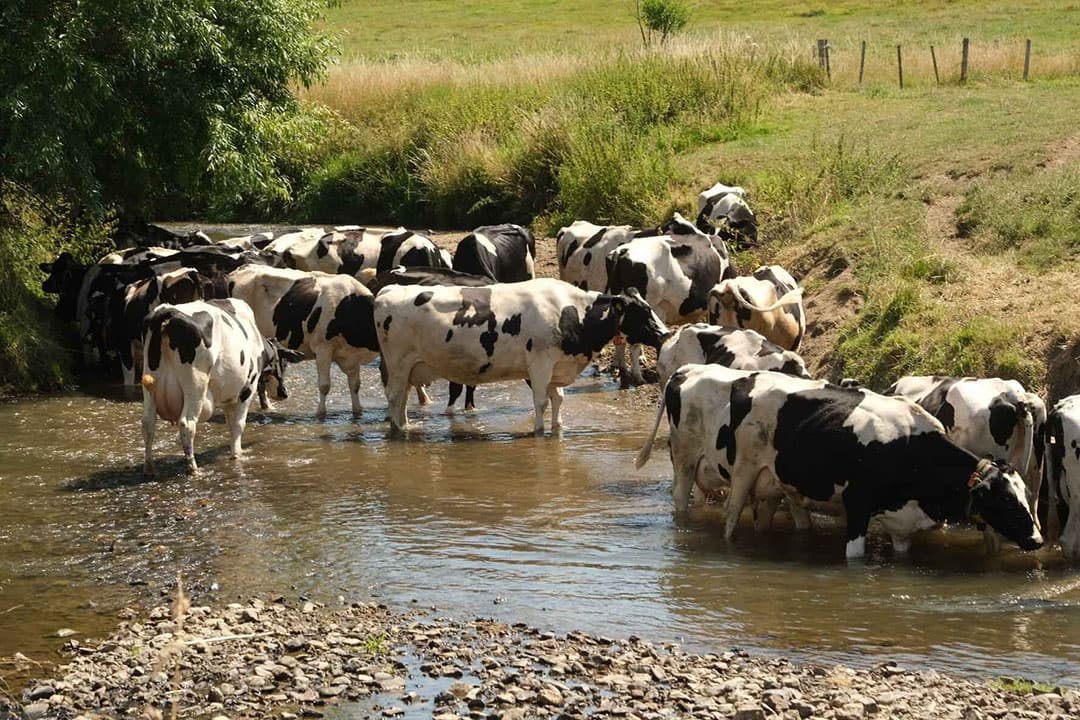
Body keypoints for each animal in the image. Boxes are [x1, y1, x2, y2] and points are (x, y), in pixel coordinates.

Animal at [139, 299, 303, 475]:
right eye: (284, 364)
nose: (283, 393)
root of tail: (168, 312)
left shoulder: (228, 397)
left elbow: (230, 424)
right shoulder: (247, 390)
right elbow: (238, 424)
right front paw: (237, 455)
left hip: (149, 384)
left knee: (148, 423)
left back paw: (149, 468)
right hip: (195, 385)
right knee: (187, 423)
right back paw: (193, 468)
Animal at [227, 265, 380, 417]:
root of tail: (243, 267)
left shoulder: (352, 356)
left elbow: (355, 385)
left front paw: (357, 411)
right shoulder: (323, 349)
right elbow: (325, 385)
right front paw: (320, 413)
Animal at [375, 278, 670, 435]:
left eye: (648, 307)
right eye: (641, 312)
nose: (665, 333)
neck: (571, 312)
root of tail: (390, 289)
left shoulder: (556, 366)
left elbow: (558, 400)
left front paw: (558, 429)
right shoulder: (540, 363)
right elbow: (541, 402)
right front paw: (539, 433)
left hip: (409, 367)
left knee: (401, 398)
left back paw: (406, 426)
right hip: (398, 363)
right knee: (394, 396)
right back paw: (399, 431)